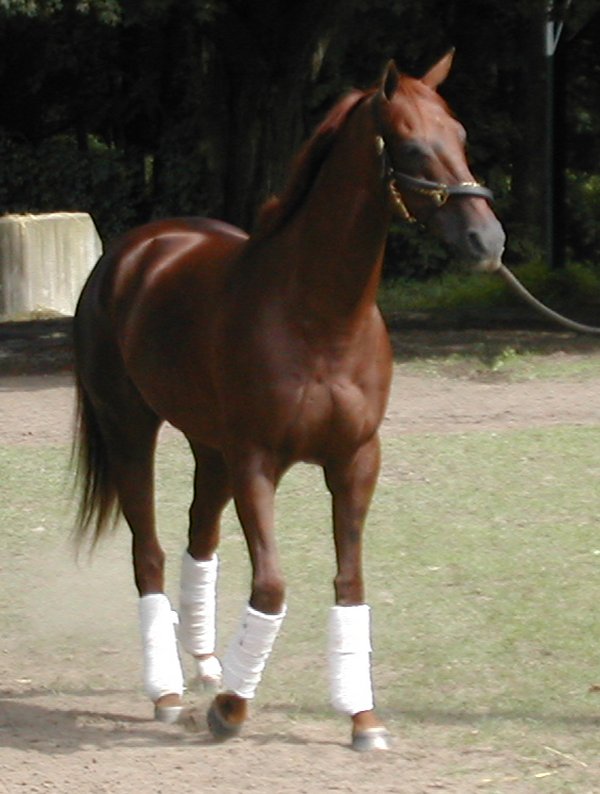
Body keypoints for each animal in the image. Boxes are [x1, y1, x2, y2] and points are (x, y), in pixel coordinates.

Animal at [71, 51, 506, 748]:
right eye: (412, 144)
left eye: (461, 136)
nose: (486, 242)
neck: (317, 318)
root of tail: (136, 251)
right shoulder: (257, 463)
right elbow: (271, 587)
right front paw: (231, 708)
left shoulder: (355, 461)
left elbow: (350, 582)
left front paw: (362, 715)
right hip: (131, 431)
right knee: (151, 555)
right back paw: (168, 691)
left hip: (211, 450)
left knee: (199, 542)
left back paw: (205, 664)